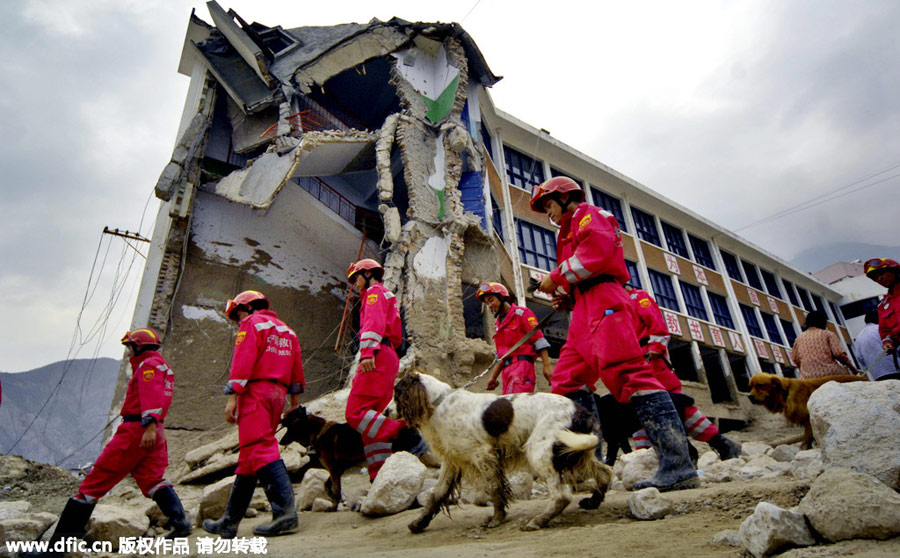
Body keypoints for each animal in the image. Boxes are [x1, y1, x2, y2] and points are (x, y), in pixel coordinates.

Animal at [390, 372, 616, 532]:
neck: (438, 404)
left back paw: (537, 521)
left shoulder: (483, 454)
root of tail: (581, 411)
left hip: (539, 451)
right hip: (572, 450)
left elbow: (494, 489)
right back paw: (593, 501)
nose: (385, 411)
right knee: (605, 471)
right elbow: (436, 495)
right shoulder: (452, 461)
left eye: (397, 394)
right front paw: (419, 523)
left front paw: (497, 519)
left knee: (562, 495)